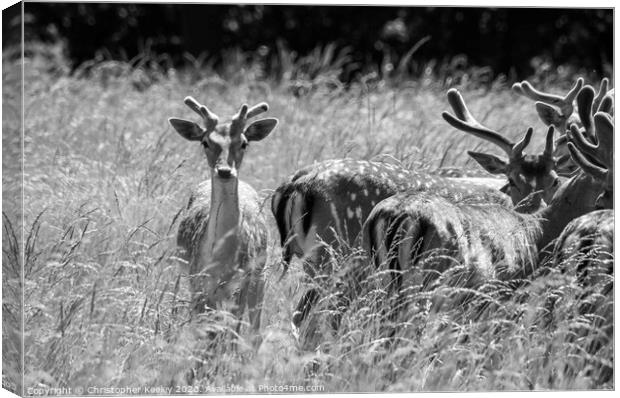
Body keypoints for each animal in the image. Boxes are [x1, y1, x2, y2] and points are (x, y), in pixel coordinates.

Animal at [168, 96, 278, 342]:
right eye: (205, 142)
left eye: (244, 143)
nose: (225, 171)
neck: (221, 259)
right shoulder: (197, 280)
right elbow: (206, 331)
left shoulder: (242, 282)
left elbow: (231, 333)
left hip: (260, 275)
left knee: (255, 329)